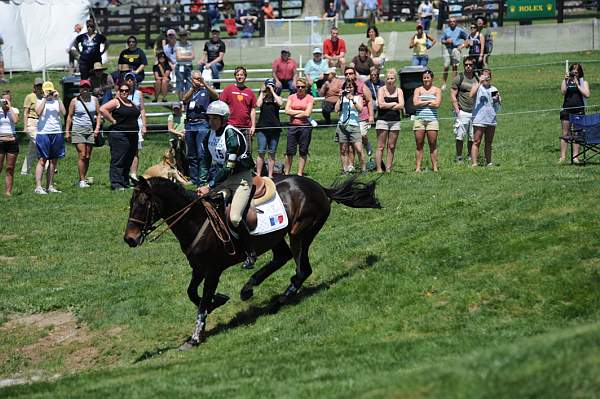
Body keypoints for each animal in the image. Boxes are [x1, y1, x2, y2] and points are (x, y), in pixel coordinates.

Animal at [124, 176, 382, 350]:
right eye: (130, 203)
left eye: (143, 204)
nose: (129, 239)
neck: (196, 221)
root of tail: (319, 187)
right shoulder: (198, 268)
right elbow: (192, 293)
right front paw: (219, 301)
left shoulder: (213, 270)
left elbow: (202, 300)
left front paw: (195, 337)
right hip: (278, 237)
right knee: (282, 259)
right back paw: (249, 287)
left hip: (300, 232)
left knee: (302, 270)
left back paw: (279, 300)